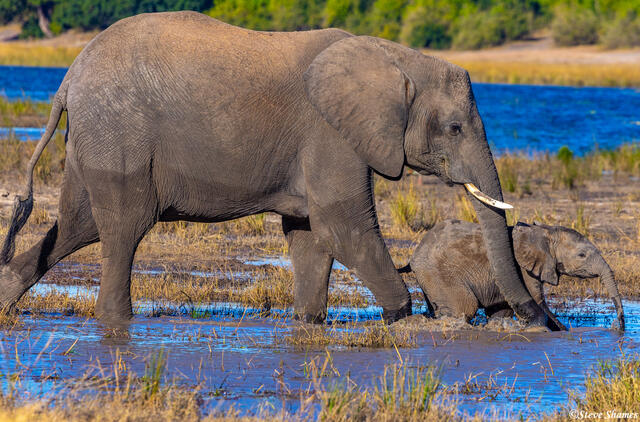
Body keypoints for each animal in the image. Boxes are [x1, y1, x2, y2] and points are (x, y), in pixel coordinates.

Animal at [0, 11, 548, 327]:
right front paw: (402, 317)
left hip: (95, 139)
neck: (394, 56)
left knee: (79, 224)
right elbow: (343, 226)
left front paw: (308, 323)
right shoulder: (330, 132)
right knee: (124, 227)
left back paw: (6, 297)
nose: (541, 320)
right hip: (119, 134)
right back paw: (115, 324)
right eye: (454, 128)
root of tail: (68, 77)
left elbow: (308, 233)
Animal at [400, 219, 625, 331]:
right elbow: (538, 301)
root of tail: (415, 255)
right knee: (464, 308)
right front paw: (563, 332)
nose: (619, 328)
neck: (544, 231)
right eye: (581, 255)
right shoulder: (522, 268)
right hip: (440, 273)